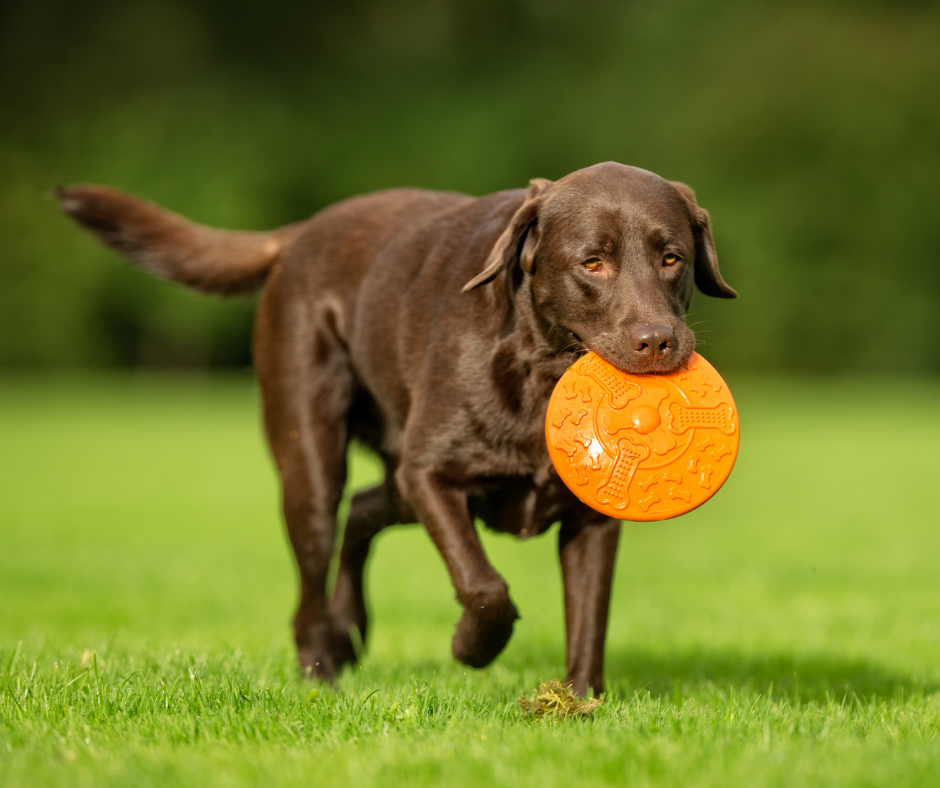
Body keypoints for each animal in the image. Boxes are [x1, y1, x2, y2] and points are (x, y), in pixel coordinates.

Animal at [58, 162, 740, 696]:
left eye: (672, 258)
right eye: (592, 262)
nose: (658, 342)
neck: (540, 371)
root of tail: (301, 232)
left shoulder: (591, 518)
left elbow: (590, 615)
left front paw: (578, 702)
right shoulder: (431, 474)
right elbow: (484, 585)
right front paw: (472, 647)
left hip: (392, 480)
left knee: (362, 510)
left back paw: (350, 629)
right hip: (314, 460)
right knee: (316, 564)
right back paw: (321, 668)